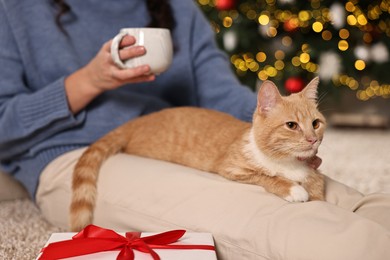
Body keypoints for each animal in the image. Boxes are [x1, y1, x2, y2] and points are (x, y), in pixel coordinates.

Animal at [69, 77, 326, 232]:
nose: (312, 139)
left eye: (315, 123)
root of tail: (136, 122)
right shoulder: (231, 168)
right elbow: (267, 177)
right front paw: (292, 189)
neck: (288, 163)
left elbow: (317, 187)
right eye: (291, 125)